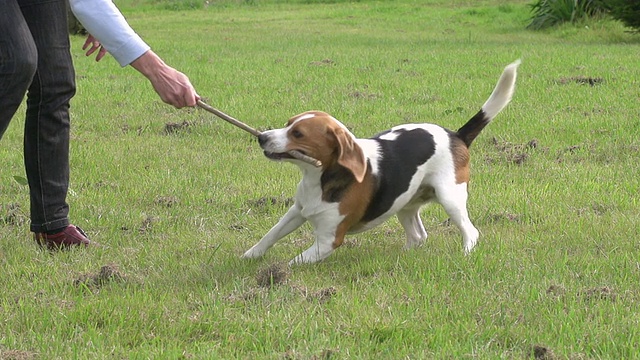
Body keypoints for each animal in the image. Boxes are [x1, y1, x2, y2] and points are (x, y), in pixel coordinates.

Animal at [241, 60, 520, 264]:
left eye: (298, 134)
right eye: (288, 123)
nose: (262, 137)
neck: (319, 179)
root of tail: (456, 135)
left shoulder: (328, 240)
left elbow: (295, 262)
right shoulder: (297, 211)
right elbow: (271, 235)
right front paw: (250, 256)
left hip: (450, 197)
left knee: (470, 232)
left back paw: (465, 254)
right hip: (404, 203)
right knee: (419, 236)